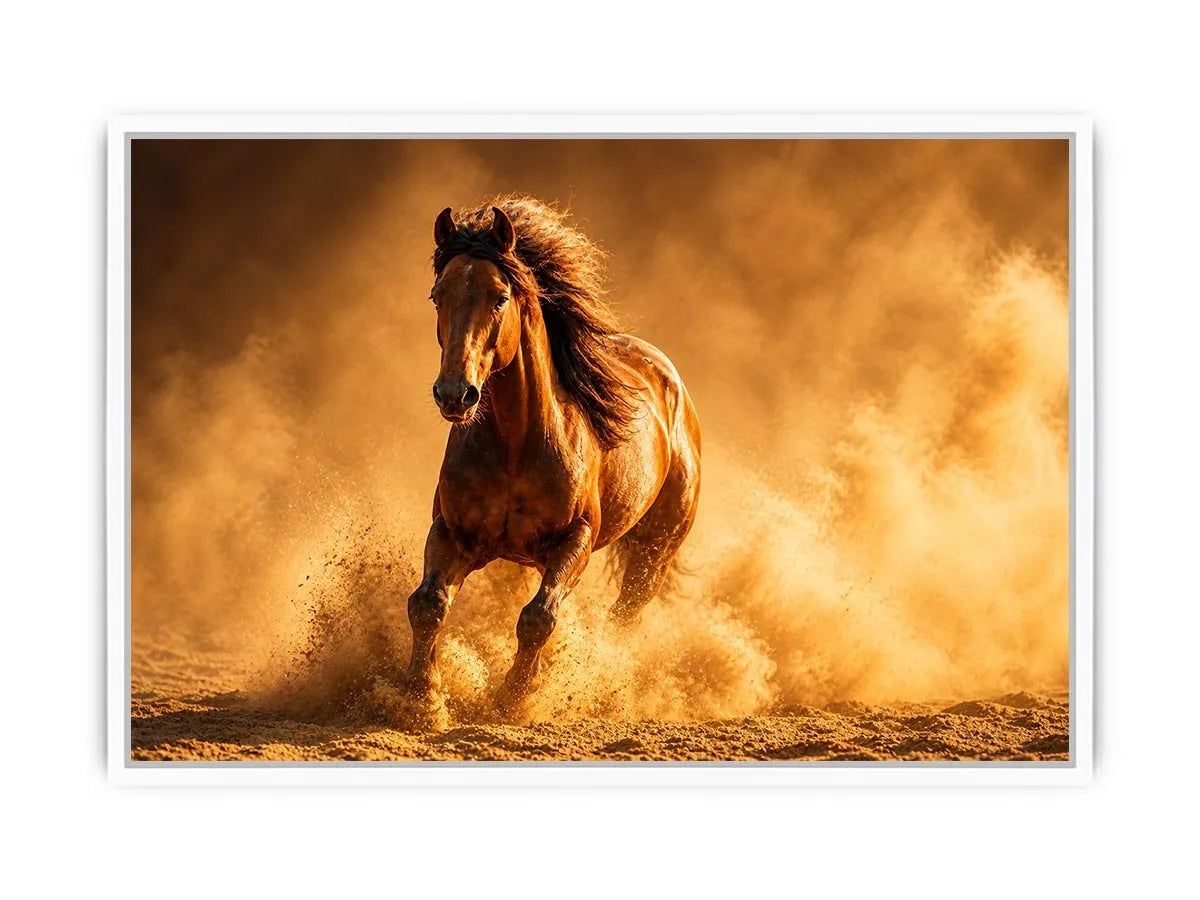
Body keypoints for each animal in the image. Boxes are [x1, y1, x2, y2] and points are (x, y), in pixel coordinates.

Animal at [403, 195, 701, 713]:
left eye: (499, 297)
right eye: (437, 296)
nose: (454, 394)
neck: (515, 445)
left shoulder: (574, 539)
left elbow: (538, 617)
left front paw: (513, 698)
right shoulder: (453, 533)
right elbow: (427, 605)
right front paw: (424, 699)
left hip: (654, 553)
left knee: (621, 620)